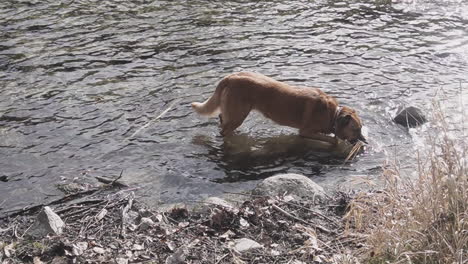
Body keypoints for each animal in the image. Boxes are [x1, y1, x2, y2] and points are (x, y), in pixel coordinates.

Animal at [190, 71, 366, 144]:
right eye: (356, 129)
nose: (365, 142)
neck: (333, 115)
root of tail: (230, 77)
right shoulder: (305, 131)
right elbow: (332, 140)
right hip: (239, 115)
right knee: (224, 129)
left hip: (234, 113)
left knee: (222, 119)